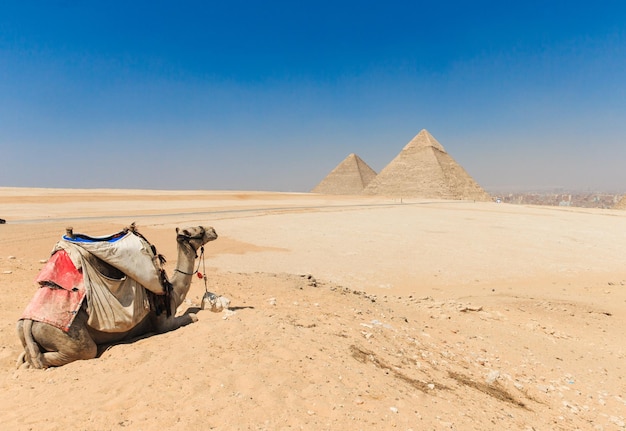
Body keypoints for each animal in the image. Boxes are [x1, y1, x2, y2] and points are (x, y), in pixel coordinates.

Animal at [14, 224, 217, 370]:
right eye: (198, 230)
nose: (213, 230)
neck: (171, 290)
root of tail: (28, 321)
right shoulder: (162, 321)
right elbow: (192, 317)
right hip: (65, 333)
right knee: (78, 352)